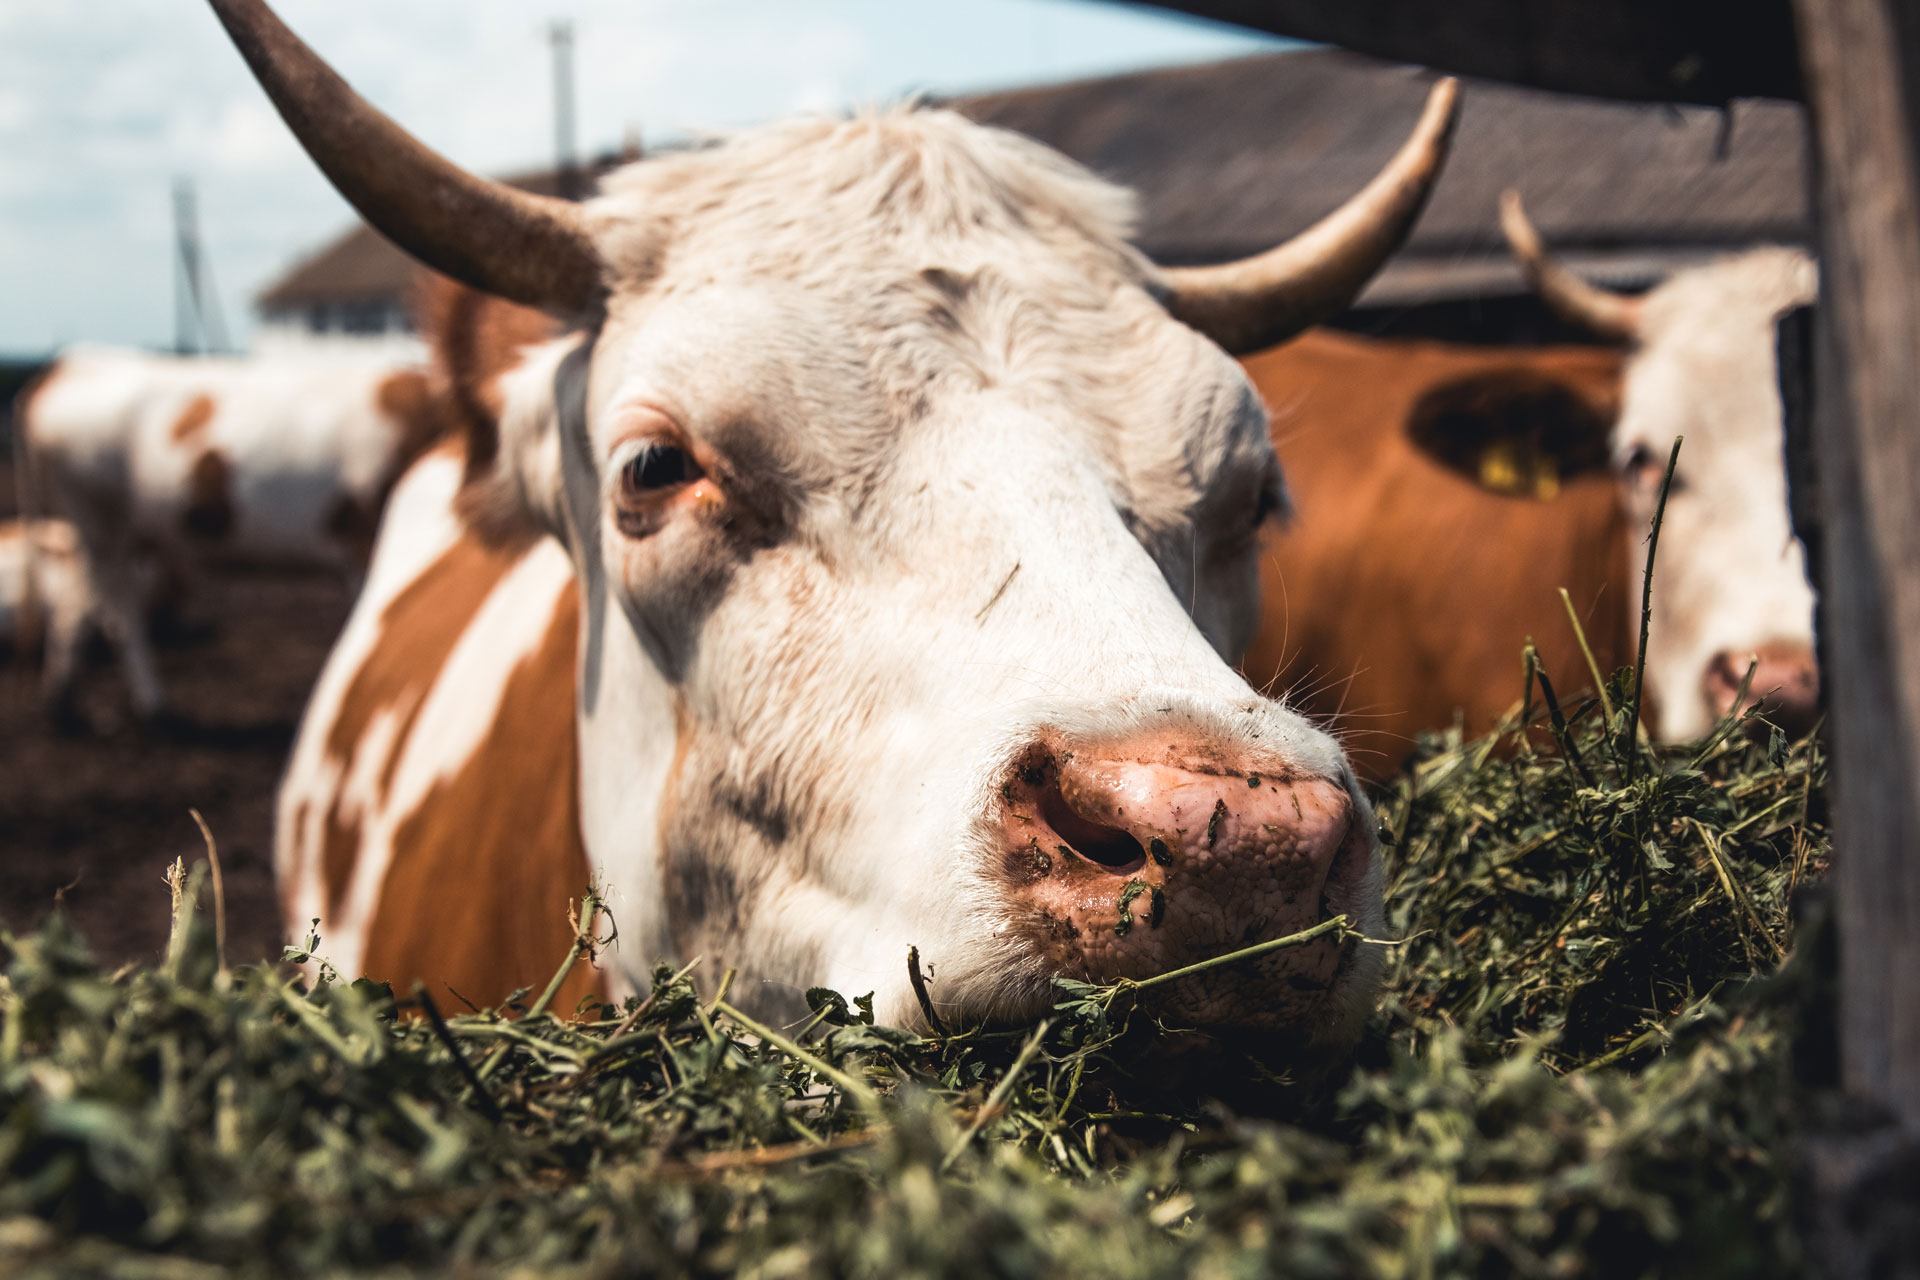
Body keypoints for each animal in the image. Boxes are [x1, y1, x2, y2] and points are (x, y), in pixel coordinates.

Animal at [15, 345, 442, 721]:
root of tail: (73, 362)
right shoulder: (362, 542)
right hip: (98, 523)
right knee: (118, 614)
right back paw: (151, 707)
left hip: (116, 534)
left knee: (79, 607)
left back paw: (65, 704)